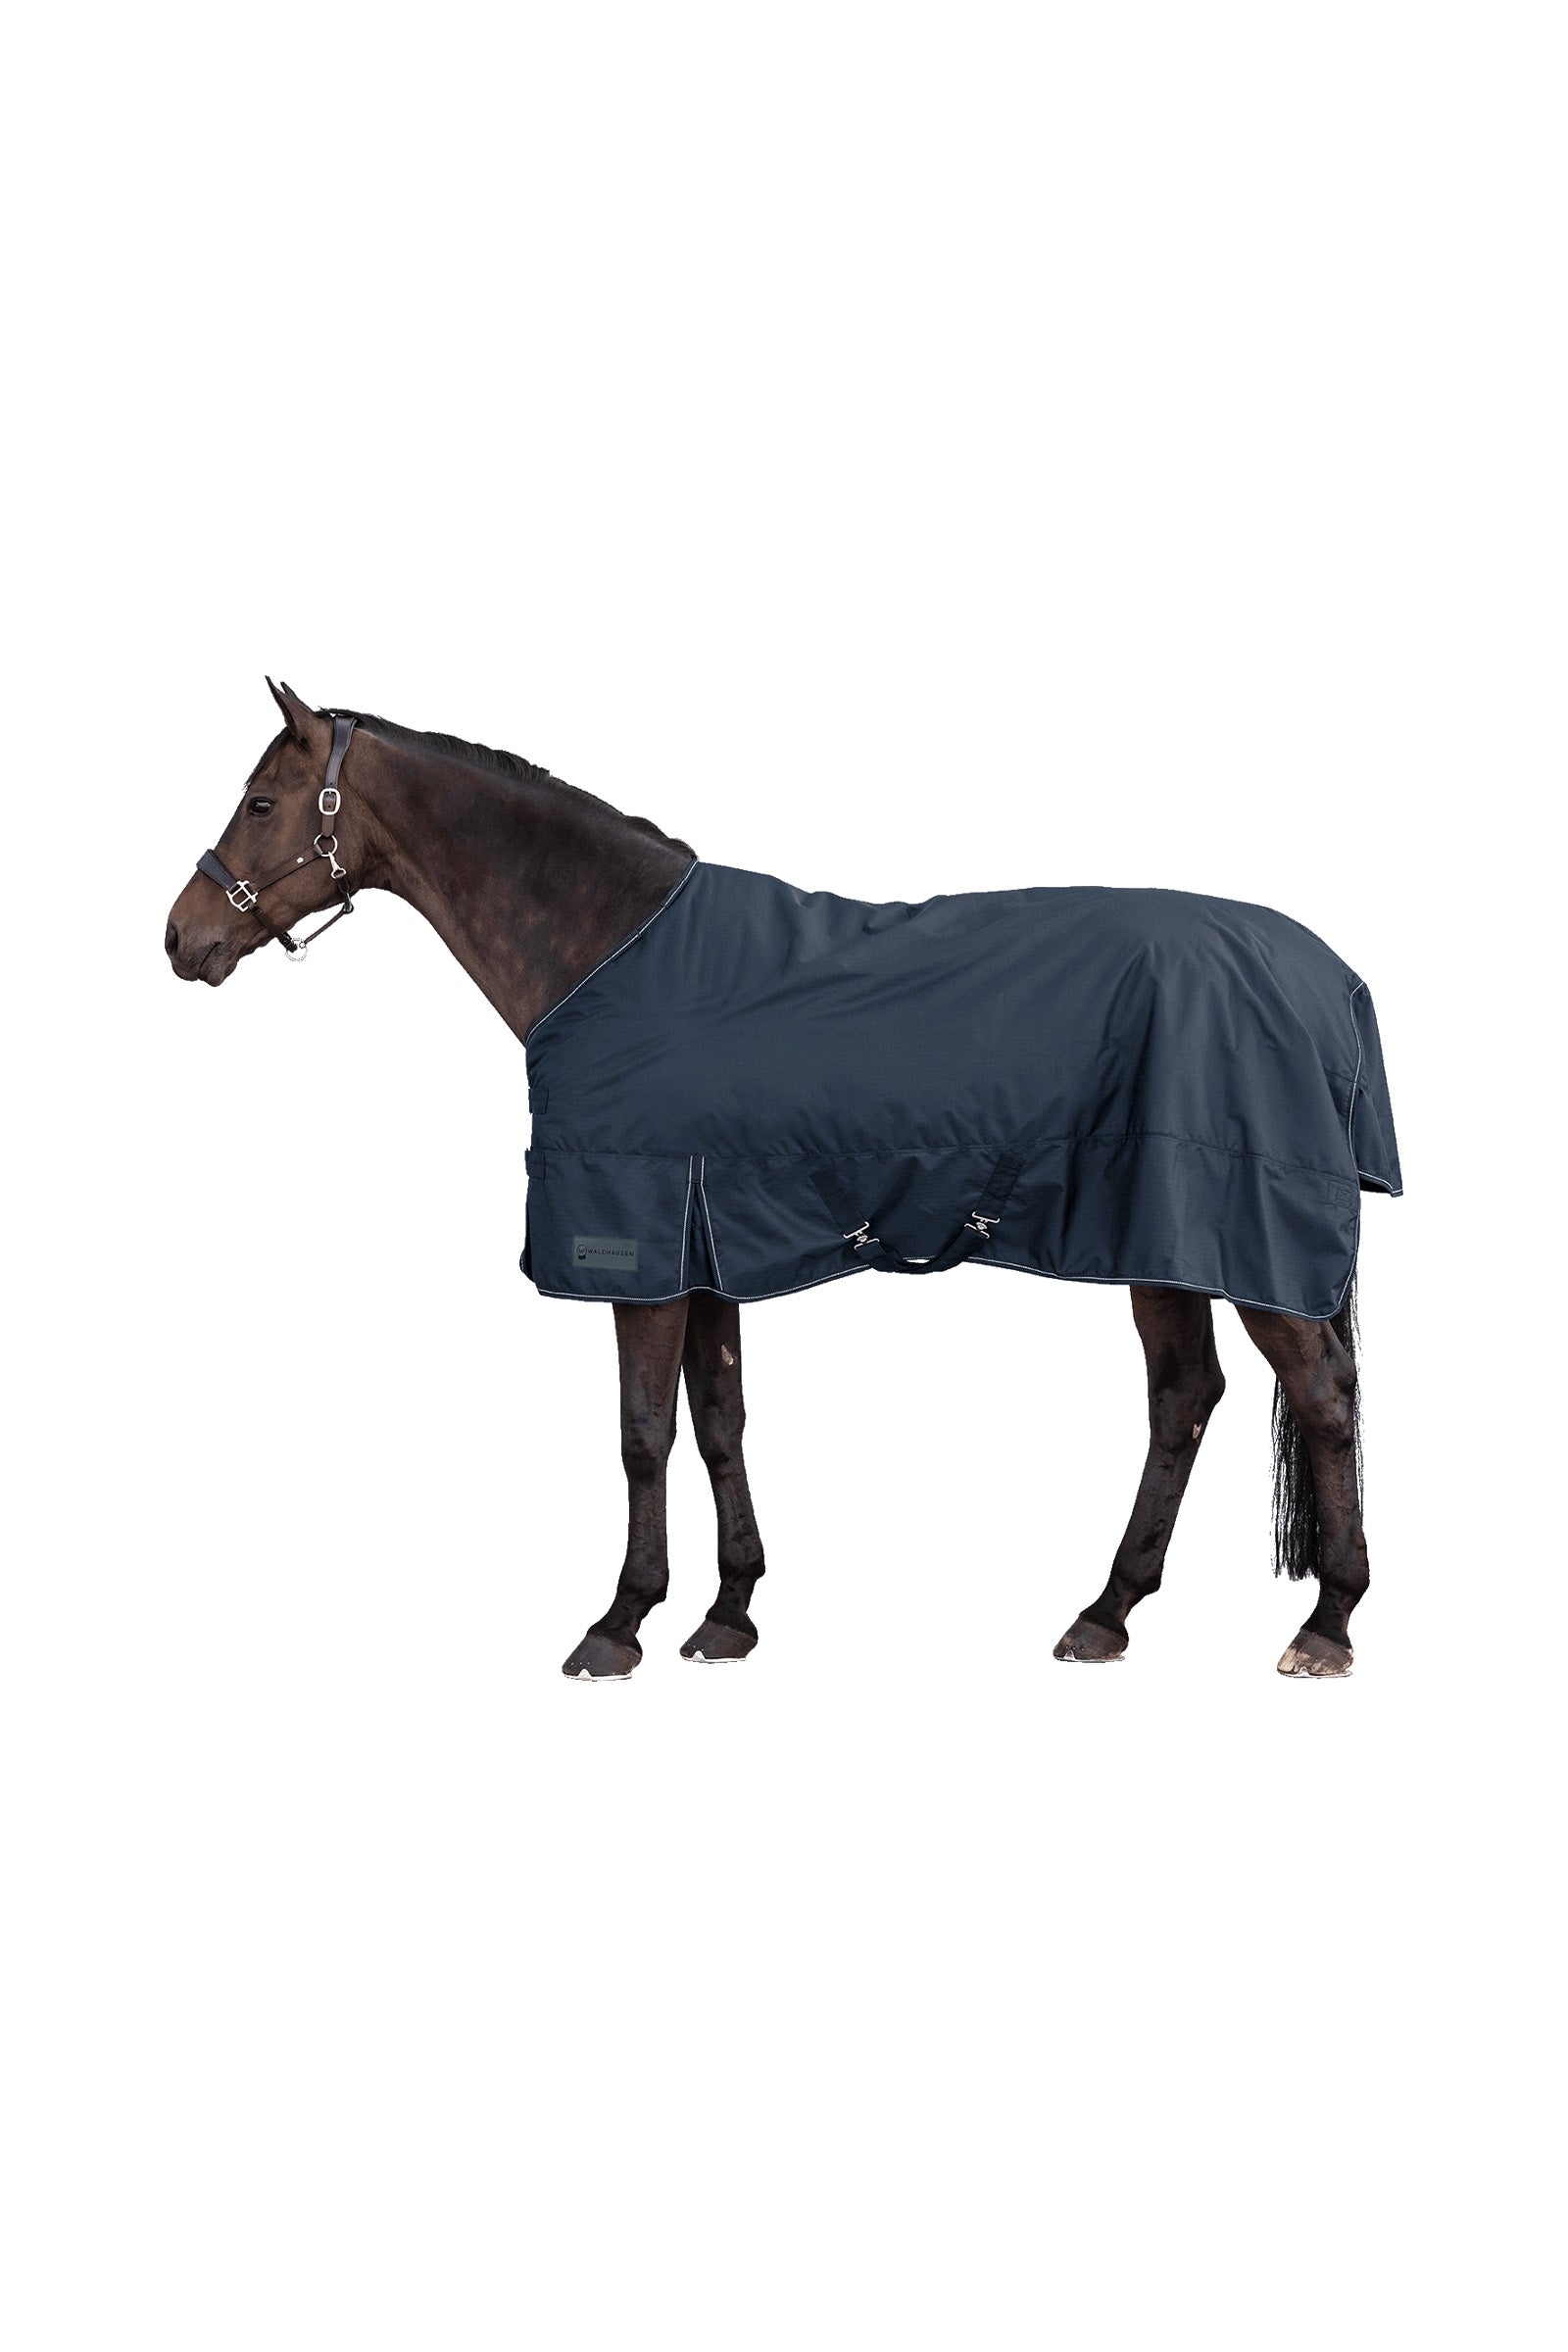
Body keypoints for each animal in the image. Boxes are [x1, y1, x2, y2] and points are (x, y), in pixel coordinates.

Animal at [166, 680, 1394, 1681]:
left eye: (262, 804)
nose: (182, 939)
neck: (609, 948)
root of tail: (1329, 978)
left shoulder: (639, 1243)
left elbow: (642, 1435)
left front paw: (619, 1623)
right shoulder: (707, 1240)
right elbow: (719, 1421)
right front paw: (728, 1614)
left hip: (1240, 1240)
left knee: (1321, 1397)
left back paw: (1325, 1625)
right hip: (1162, 1237)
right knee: (1183, 1397)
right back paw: (1105, 1613)